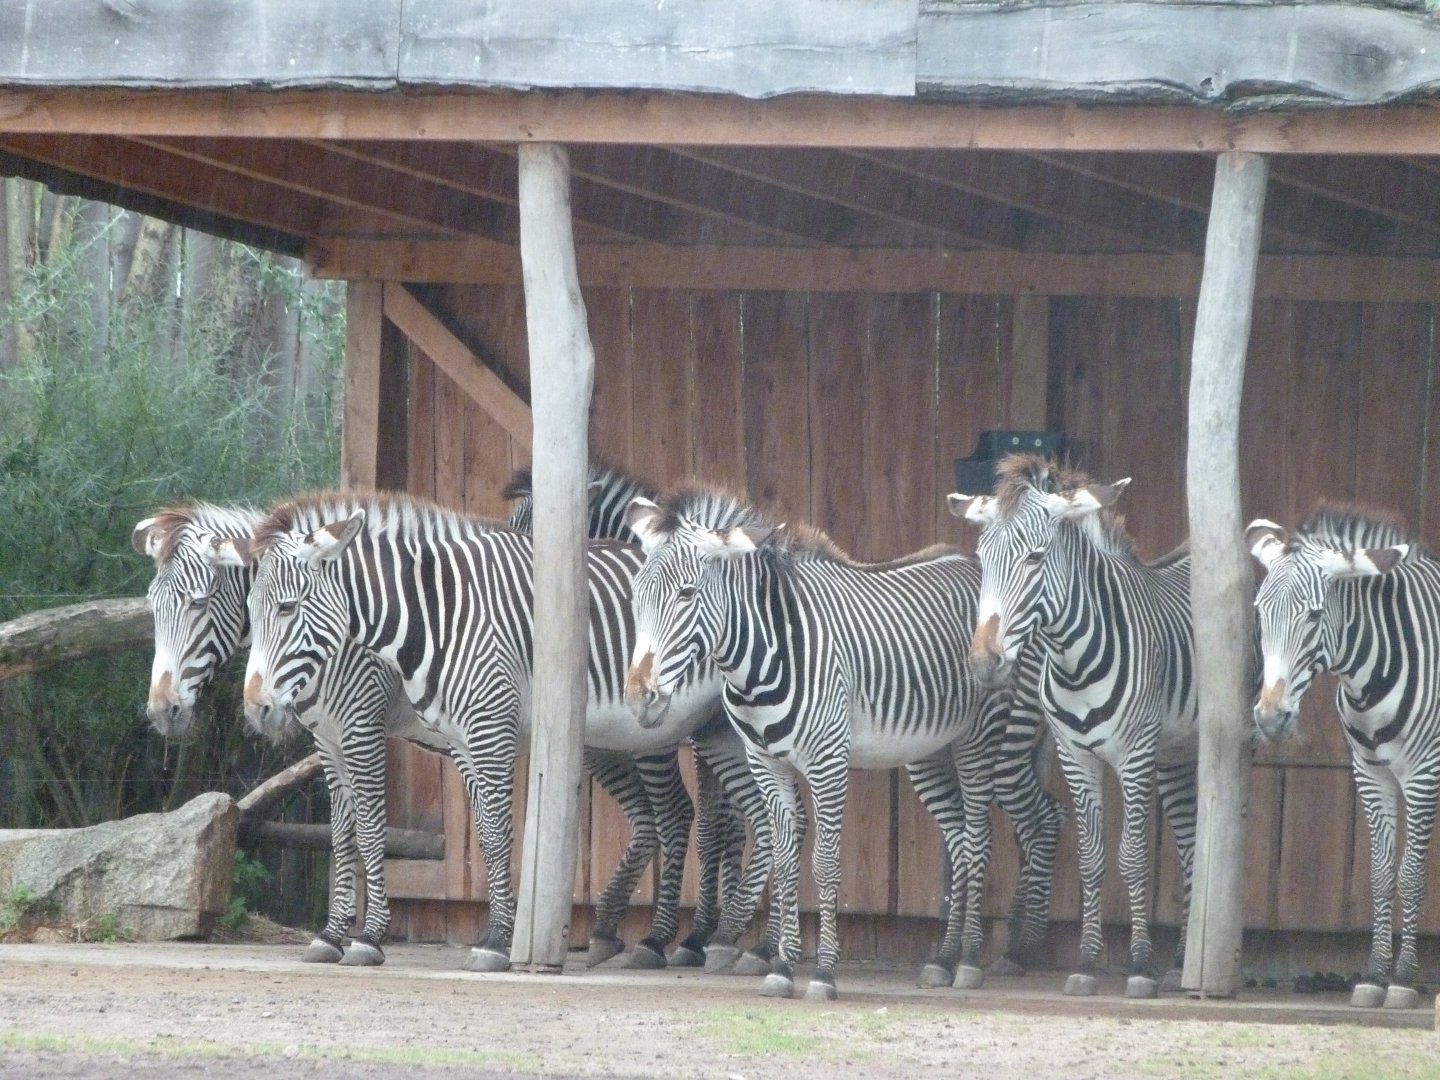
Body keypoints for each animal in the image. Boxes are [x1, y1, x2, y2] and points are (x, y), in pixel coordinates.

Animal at [230, 490, 735, 974]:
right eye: (249, 609)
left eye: (287, 608)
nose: (257, 709)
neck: (432, 617)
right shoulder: (342, 740)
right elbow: (345, 835)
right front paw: (332, 935)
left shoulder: (375, 727)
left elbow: (390, 830)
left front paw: (374, 937)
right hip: (634, 738)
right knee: (691, 819)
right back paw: (655, 936)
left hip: (666, 730)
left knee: (679, 815)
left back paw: (675, 940)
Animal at [624, 485, 1064, 1002]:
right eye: (636, 595)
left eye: (686, 593)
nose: (639, 697)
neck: (761, 657)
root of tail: (975, 566)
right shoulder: (765, 762)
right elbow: (784, 859)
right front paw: (782, 966)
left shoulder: (827, 761)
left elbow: (826, 863)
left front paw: (823, 972)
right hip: (928, 753)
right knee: (958, 841)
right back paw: (942, 959)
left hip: (980, 740)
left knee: (978, 840)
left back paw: (971, 960)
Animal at [949, 454, 1198, 999]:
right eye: (982, 559)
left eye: (1036, 558)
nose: (982, 663)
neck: (1075, 661)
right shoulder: (1075, 755)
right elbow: (1091, 858)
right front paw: (1085, 963)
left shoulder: (1134, 756)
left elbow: (1132, 856)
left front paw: (1140, 966)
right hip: (1174, 753)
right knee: (1192, 839)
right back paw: (1181, 961)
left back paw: (1183, 961)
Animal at [1248, 506, 1433, 1011]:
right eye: (1259, 613)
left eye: (1313, 616)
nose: (1270, 719)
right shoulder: (1370, 773)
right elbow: (1381, 870)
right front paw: (1374, 974)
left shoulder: (1422, 774)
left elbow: (1411, 873)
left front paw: (1403, 979)